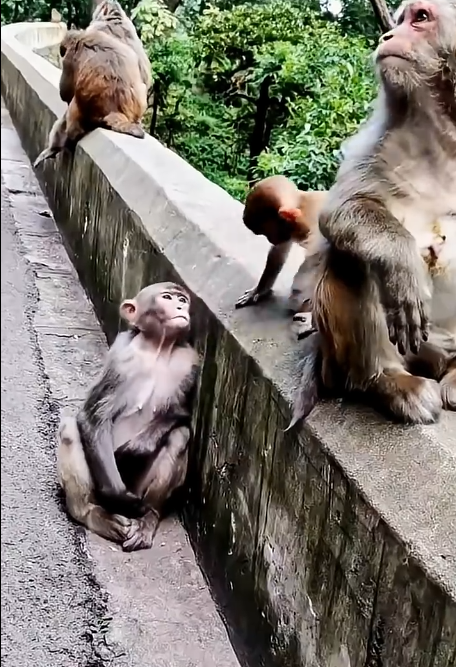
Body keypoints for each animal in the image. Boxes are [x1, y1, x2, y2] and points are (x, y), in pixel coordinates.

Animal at [56, 282, 200, 551]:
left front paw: (138, 447)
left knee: (179, 436)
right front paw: (118, 495)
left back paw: (149, 517)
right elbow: (93, 414)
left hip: (141, 486)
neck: (157, 349)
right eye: (167, 297)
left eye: (182, 300)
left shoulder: (189, 363)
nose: (180, 308)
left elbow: (180, 413)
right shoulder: (120, 356)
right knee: (70, 428)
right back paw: (91, 513)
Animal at [290, 0, 456, 426]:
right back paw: (389, 382)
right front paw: (403, 268)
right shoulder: (380, 137)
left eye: (420, 18)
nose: (387, 35)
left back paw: (455, 374)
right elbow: (341, 211)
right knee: (351, 259)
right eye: (399, 20)